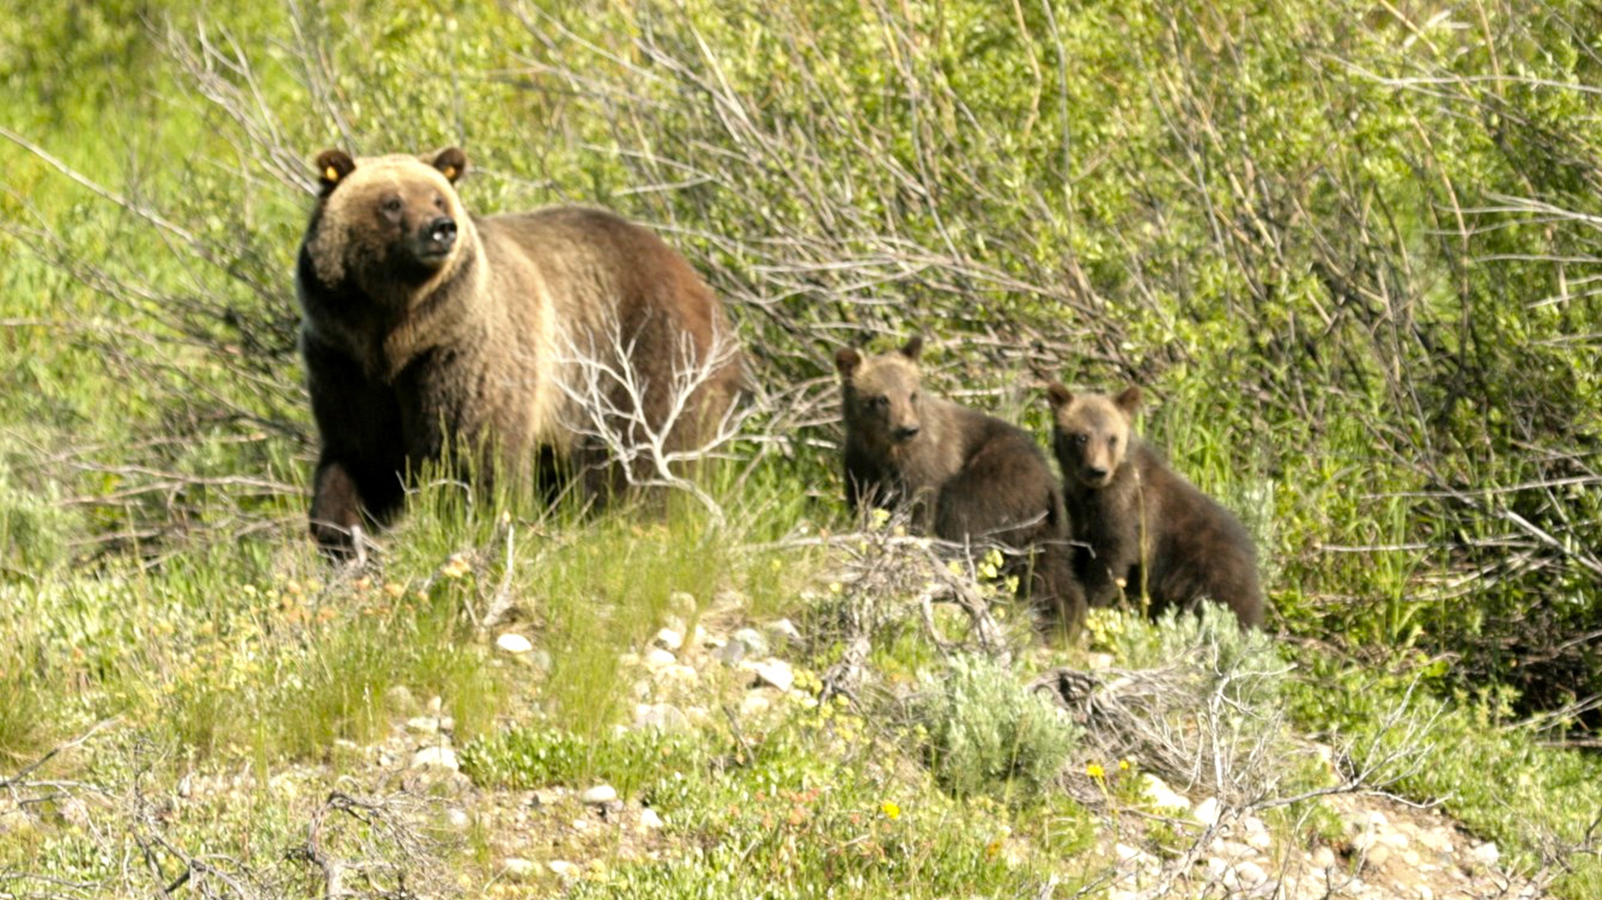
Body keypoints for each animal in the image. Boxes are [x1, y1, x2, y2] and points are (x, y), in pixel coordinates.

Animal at [297, 146, 740, 554]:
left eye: (438, 197)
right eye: (392, 202)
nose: (442, 229)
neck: (401, 329)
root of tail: (695, 278)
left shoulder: (463, 350)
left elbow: (480, 447)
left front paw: (481, 519)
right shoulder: (344, 357)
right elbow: (361, 450)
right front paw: (339, 531)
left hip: (640, 351)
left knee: (643, 451)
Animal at [839, 333, 1089, 634]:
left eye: (912, 394)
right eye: (881, 399)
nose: (908, 429)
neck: (882, 449)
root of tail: (1048, 481)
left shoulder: (926, 465)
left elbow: (918, 511)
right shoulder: (861, 466)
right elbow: (864, 507)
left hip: (993, 484)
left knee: (963, 524)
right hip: (1042, 525)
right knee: (1047, 568)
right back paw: (1064, 626)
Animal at [1050, 381, 1262, 627]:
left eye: (1112, 438)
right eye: (1081, 437)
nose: (1098, 471)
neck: (1092, 493)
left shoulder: (1128, 511)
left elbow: (1112, 558)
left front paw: (1090, 600)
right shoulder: (1079, 510)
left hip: (1210, 578)